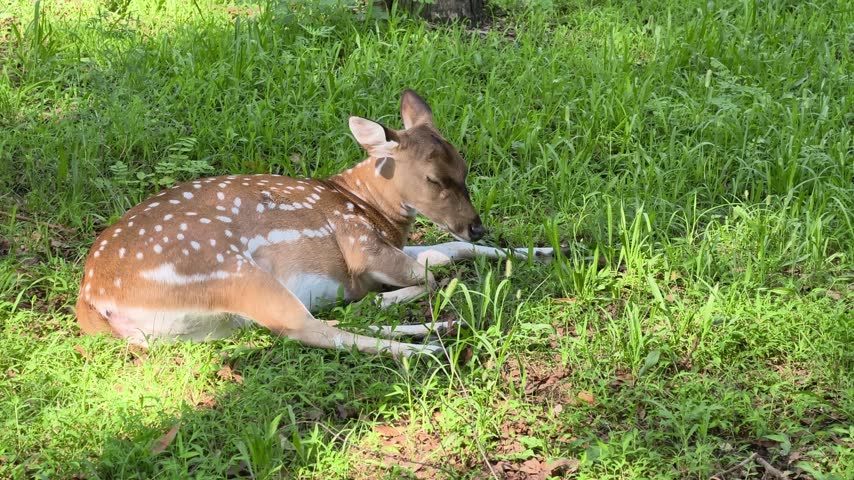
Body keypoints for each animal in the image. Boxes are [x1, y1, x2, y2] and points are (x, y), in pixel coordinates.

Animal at [75, 90, 555, 358]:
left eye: (466, 169)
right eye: (435, 179)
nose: (477, 226)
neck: (366, 204)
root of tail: (92, 302)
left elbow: (450, 252)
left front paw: (546, 250)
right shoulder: (360, 242)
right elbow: (433, 274)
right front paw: (393, 296)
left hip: (221, 320)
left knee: (310, 327)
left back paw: (438, 328)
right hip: (230, 271)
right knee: (312, 330)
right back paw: (425, 348)